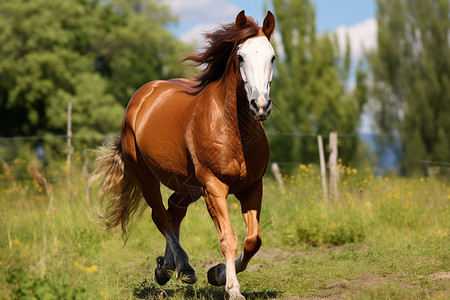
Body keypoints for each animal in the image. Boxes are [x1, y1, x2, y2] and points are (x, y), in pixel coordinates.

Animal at [90, 9, 276, 300]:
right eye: (241, 57)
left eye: (273, 56)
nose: (260, 106)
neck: (232, 129)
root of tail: (142, 95)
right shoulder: (213, 187)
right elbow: (229, 238)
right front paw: (232, 288)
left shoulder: (252, 187)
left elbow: (253, 241)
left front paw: (217, 274)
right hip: (148, 178)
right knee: (161, 216)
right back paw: (182, 267)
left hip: (189, 186)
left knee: (174, 210)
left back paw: (168, 267)